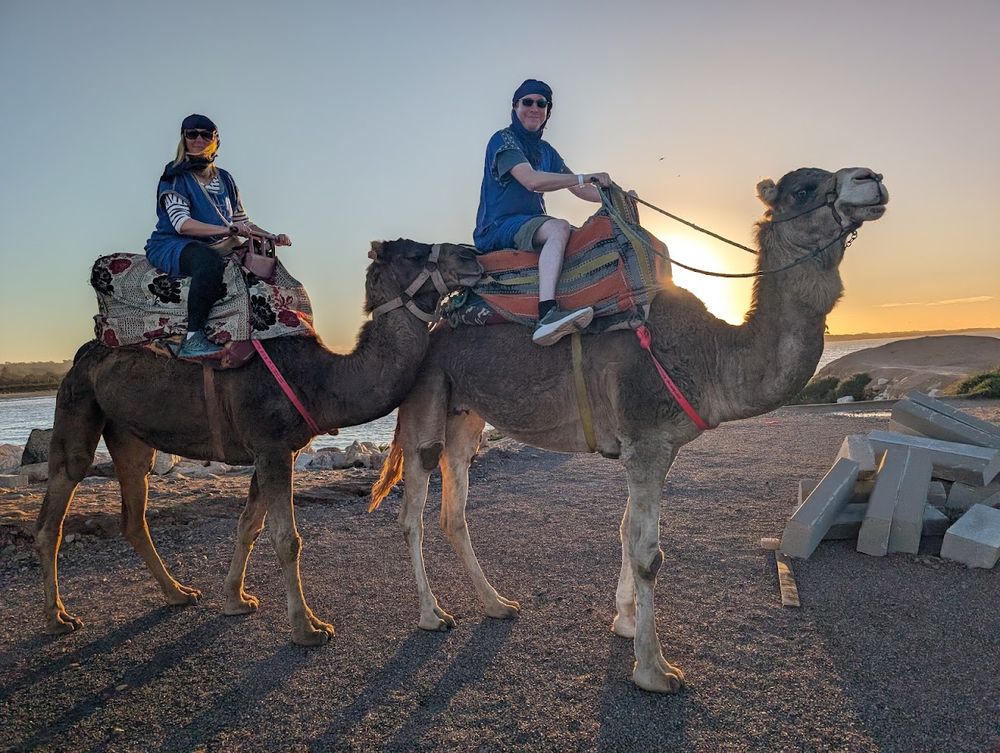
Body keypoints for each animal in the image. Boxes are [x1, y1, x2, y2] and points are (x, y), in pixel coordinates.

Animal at [36, 240, 482, 645]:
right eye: (414, 252)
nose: (472, 255)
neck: (321, 380)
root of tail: (83, 353)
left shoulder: (275, 451)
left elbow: (249, 525)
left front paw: (236, 600)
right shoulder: (270, 447)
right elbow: (287, 539)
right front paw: (308, 628)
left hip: (129, 433)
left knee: (134, 505)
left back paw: (178, 593)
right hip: (77, 401)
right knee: (60, 497)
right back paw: (59, 618)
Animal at [370, 167, 889, 693]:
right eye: (803, 190)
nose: (871, 178)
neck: (710, 356)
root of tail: (431, 329)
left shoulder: (657, 447)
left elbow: (625, 531)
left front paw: (623, 621)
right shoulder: (647, 443)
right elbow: (647, 553)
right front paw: (654, 669)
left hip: (466, 415)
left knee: (453, 511)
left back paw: (497, 605)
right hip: (425, 402)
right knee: (412, 511)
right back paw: (432, 615)